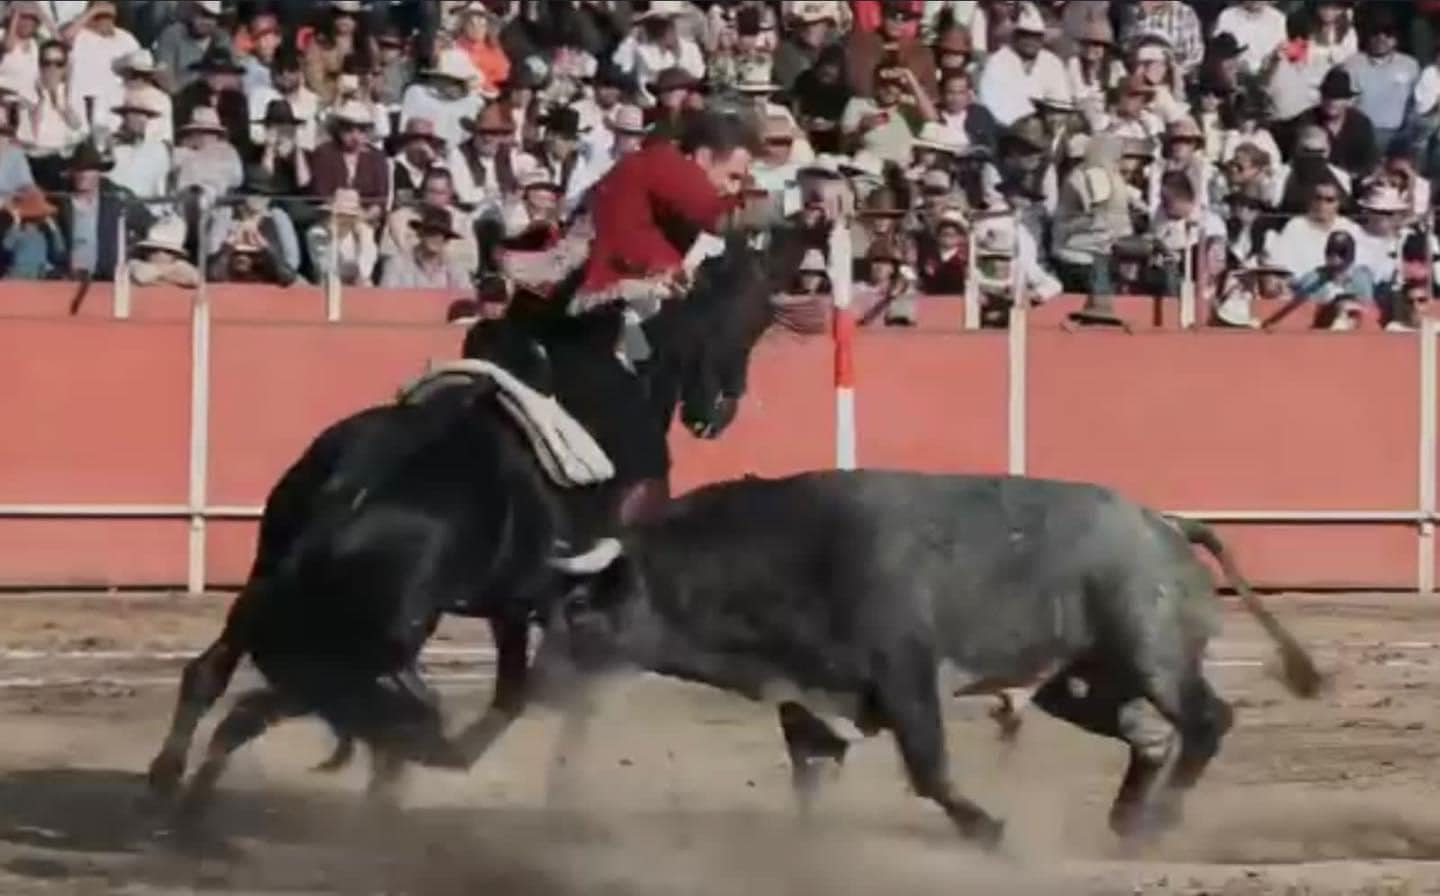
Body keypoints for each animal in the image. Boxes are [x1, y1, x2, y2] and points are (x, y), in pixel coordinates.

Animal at [150, 221, 817, 823]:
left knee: (212, 676)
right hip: (363, 636)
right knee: (283, 701)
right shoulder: (557, 604)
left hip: (271, 580)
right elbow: (533, 700)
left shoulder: (511, 606)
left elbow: (514, 697)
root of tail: (349, 490)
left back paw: (174, 790)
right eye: (754, 319)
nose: (717, 413)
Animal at [538, 469, 1319, 847]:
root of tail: (1165, 522)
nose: (537, 690)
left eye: (576, 610)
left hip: (1154, 653)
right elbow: (810, 783)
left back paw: (1159, 822)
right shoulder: (811, 701)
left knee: (1206, 721)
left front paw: (991, 831)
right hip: (1080, 681)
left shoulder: (906, 677)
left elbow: (929, 771)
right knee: (1149, 737)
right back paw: (1128, 823)